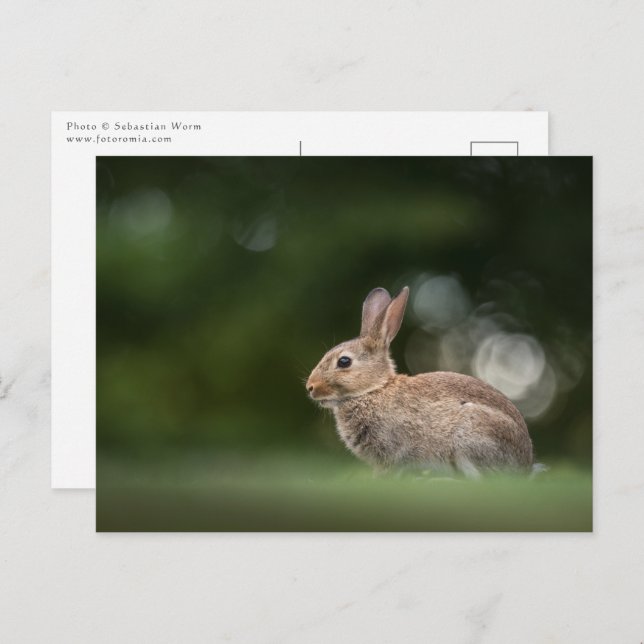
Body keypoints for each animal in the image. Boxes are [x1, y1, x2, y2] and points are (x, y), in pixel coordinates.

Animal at [306, 286, 536, 477]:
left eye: (344, 361)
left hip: (470, 438)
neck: (374, 389)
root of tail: (524, 462)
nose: (310, 387)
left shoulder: (393, 450)